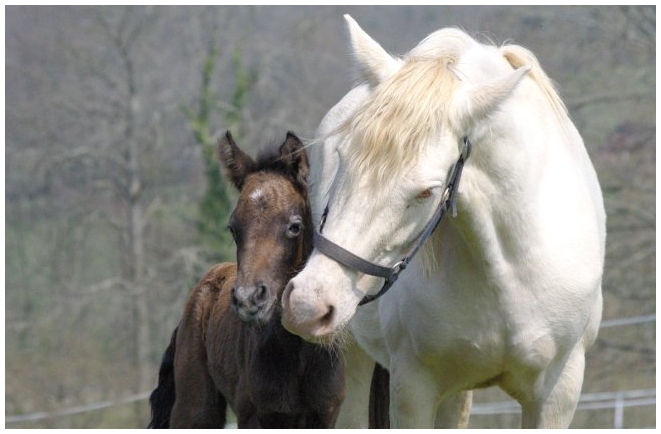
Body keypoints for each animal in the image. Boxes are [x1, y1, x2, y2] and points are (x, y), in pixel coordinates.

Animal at [282, 15, 604, 428]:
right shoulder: (413, 387)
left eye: (426, 192)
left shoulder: (558, 394)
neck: (511, 269)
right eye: (342, 157)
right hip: (352, 350)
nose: (307, 304)